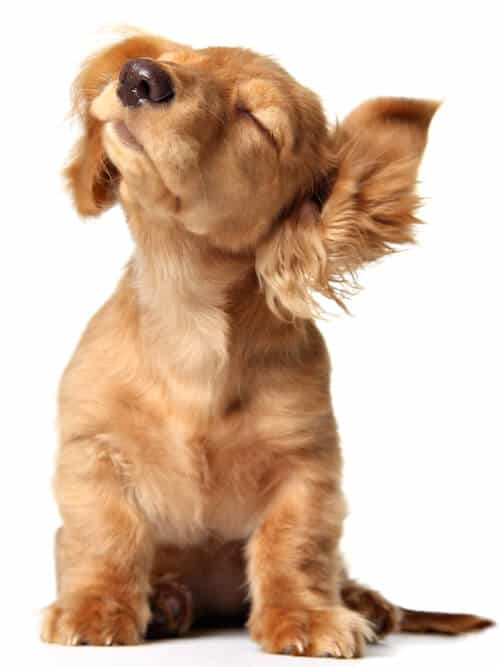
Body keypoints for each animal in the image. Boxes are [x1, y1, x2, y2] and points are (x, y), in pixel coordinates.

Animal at [41, 32, 494, 656]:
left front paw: (304, 616)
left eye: (255, 119)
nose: (140, 76)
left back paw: (364, 603)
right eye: (180, 60)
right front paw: (95, 607)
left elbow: (293, 545)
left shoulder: (306, 463)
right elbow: (104, 532)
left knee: (335, 569)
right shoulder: (91, 449)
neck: (190, 322)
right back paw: (168, 600)